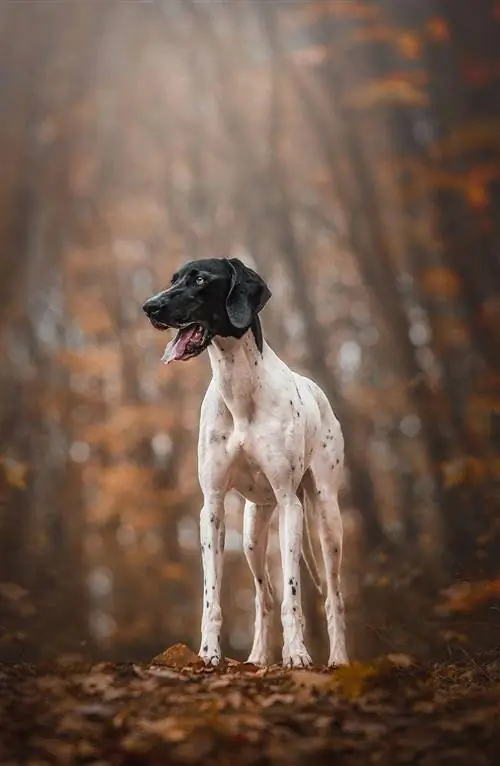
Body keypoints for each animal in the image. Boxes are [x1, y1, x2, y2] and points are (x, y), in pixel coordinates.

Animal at [143, 258, 348, 664]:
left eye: (201, 279)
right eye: (173, 279)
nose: (150, 307)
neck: (238, 386)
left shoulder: (289, 504)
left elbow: (293, 594)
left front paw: (296, 654)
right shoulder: (213, 507)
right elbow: (212, 595)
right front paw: (208, 653)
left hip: (326, 519)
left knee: (333, 596)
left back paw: (338, 660)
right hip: (254, 532)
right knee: (263, 597)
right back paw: (256, 659)